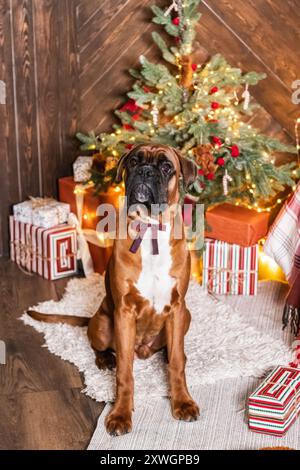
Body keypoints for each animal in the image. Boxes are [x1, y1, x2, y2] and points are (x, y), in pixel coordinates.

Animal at [28, 144, 200, 436]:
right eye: (134, 161)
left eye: (166, 166)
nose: (145, 171)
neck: (150, 231)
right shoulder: (124, 312)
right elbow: (125, 372)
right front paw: (120, 413)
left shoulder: (177, 308)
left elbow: (177, 364)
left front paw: (183, 401)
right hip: (103, 324)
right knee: (96, 343)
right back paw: (104, 360)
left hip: (186, 316)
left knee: (171, 349)